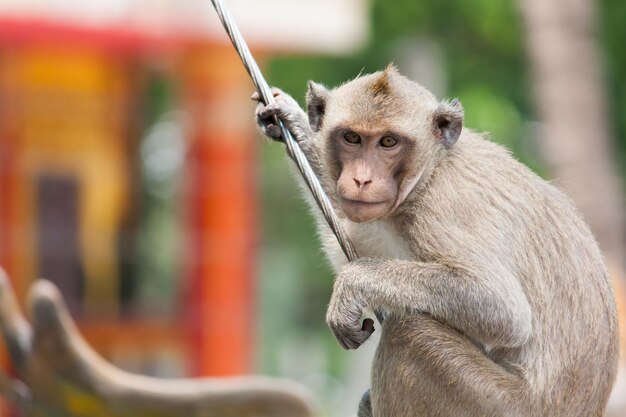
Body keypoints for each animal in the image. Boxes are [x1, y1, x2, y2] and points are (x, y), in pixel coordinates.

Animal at [252, 66, 616, 416]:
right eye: (352, 138)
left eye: (388, 142)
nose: (361, 179)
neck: (432, 168)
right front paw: (295, 124)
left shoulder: (444, 207)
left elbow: (502, 309)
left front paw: (352, 284)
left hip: (493, 402)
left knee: (408, 331)